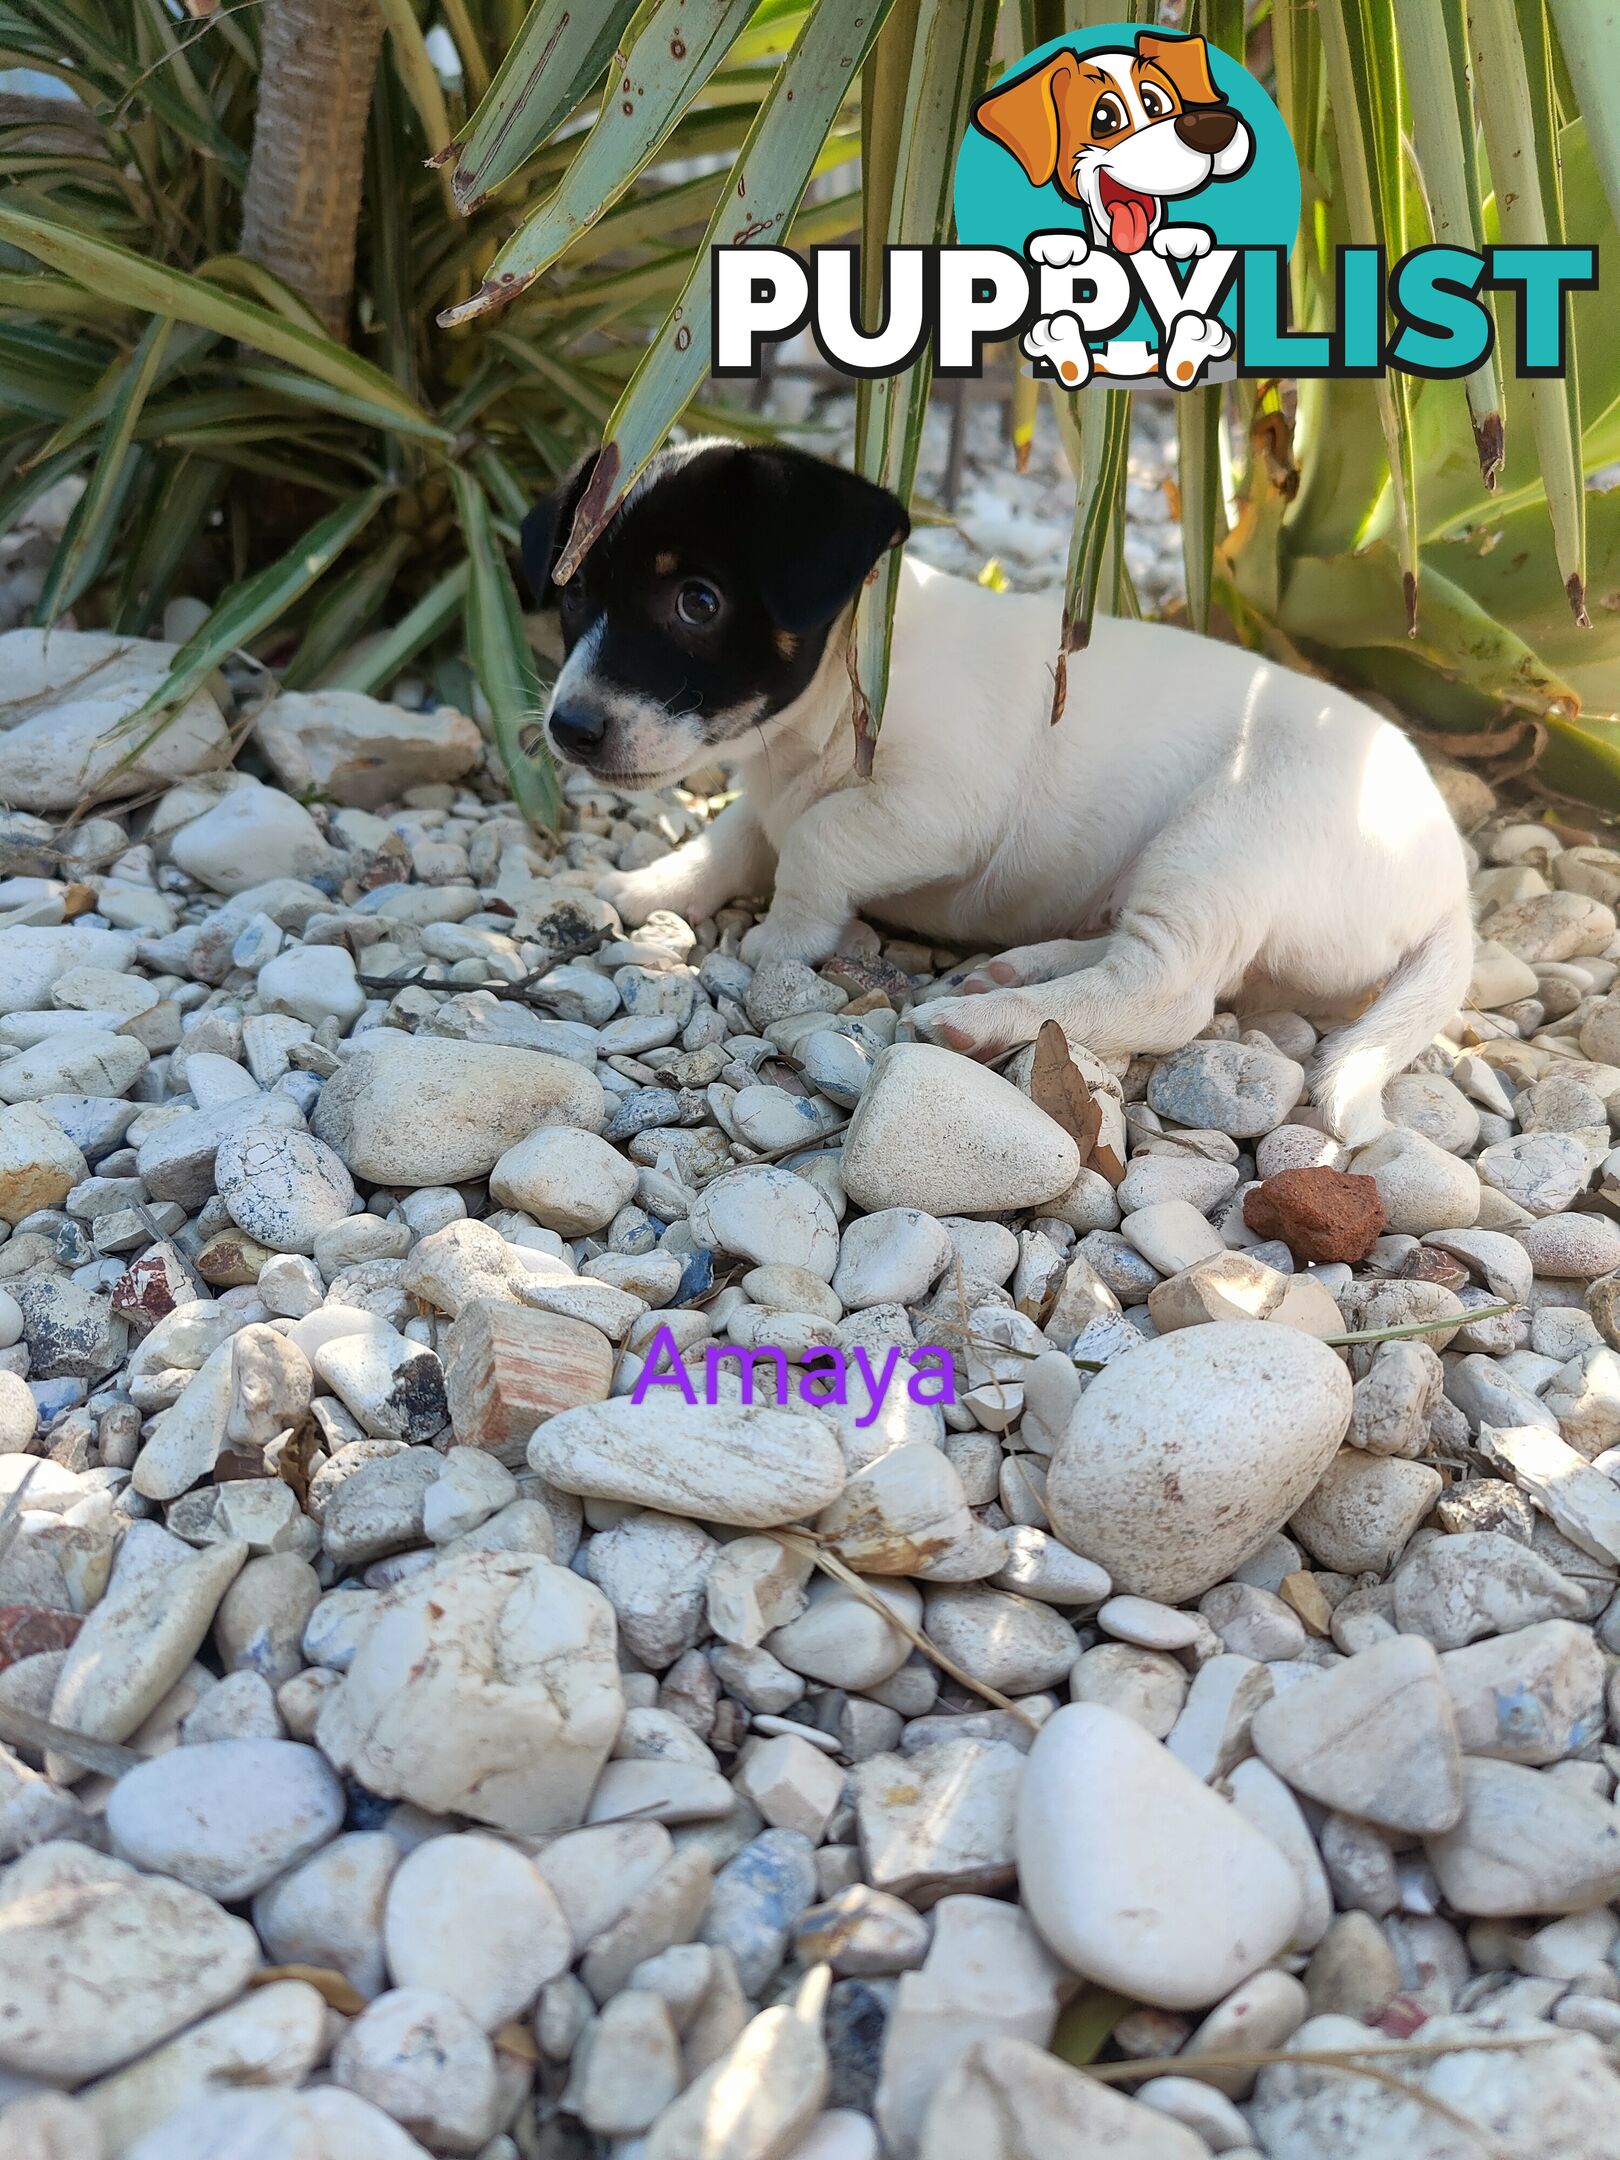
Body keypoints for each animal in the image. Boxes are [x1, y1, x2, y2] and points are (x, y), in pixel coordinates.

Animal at [527, 438, 1477, 1149]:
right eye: (573, 595)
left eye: (698, 602)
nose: (569, 728)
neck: (843, 689)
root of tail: (1452, 890)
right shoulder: (772, 787)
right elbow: (733, 839)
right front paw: (644, 888)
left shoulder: (939, 808)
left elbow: (815, 840)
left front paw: (782, 939)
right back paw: (1020, 968)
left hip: (1223, 841)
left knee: (1164, 990)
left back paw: (989, 1017)